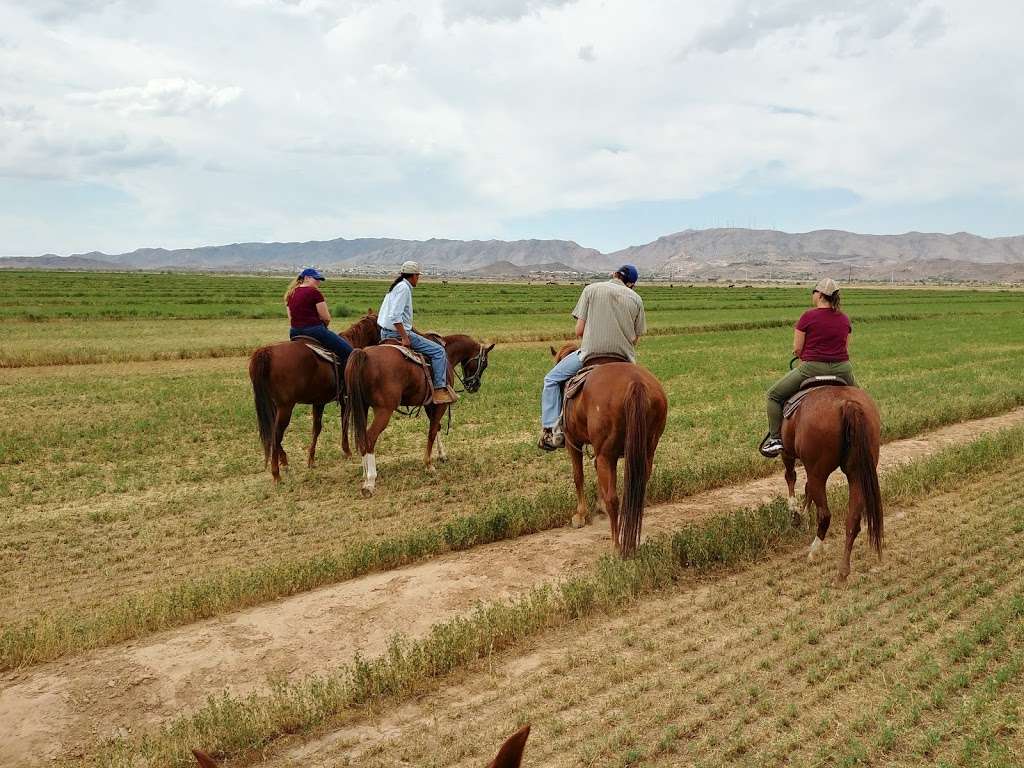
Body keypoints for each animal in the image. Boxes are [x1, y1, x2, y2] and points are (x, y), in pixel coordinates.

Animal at [246, 311, 380, 481]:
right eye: (379, 325)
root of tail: (267, 352)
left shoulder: (319, 402)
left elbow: (316, 428)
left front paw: (311, 459)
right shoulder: (345, 401)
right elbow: (343, 423)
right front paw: (347, 451)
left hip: (273, 405)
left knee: (272, 431)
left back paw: (284, 461)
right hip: (285, 407)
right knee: (276, 434)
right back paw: (276, 473)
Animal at [344, 335, 495, 499]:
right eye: (484, 363)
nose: (474, 386)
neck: (447, 354)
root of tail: (364, 354)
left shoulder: (430, 404)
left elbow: (437, 428)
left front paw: (442, 455)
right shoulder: (440, 404)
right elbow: (432, 431)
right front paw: (428, 464)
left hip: (362, 407)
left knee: (361, 437)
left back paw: (365, 475)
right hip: (384, 410)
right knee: (370, 437)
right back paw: (370, 481)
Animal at [548, 346, 667, 557]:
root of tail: (636, 383)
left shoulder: (573, 443)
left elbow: (578, 476)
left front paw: (580, 515)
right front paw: (598, 506)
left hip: (606, 454)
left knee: (614, 499)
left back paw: (617, 546)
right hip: (646, 452)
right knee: (634, 494)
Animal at [778, 385, 884, 581]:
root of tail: (848, 404)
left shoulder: (787, 453)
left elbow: (791, 477)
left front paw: (795, 513)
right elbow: (806, 488)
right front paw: (802, 514)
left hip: (818, 472)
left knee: (825, 514)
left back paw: (814, 551)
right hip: (857, 474)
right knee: (852, 520)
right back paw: (843, 571)